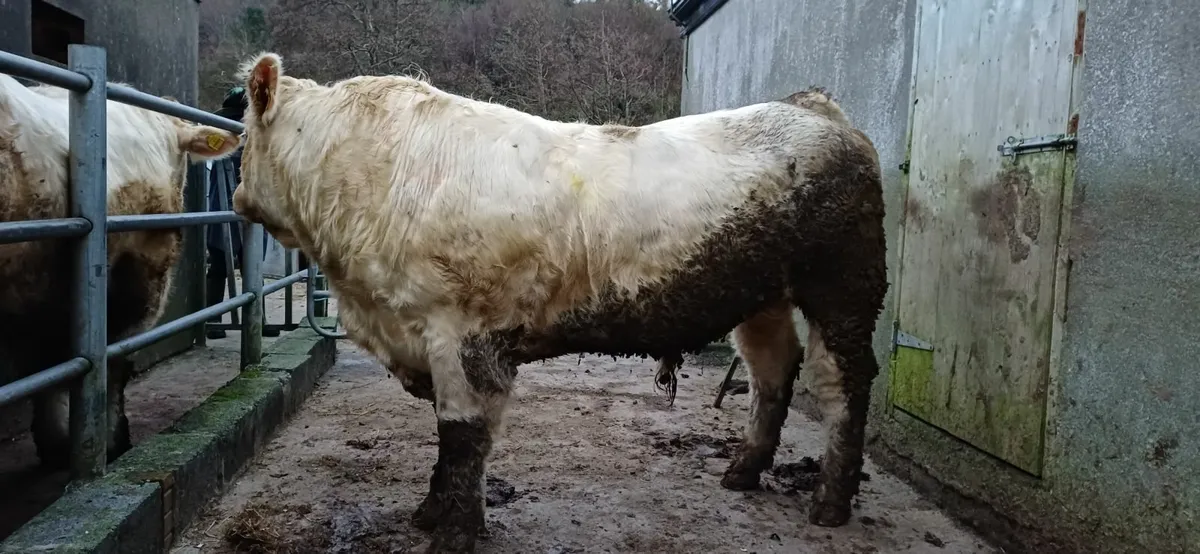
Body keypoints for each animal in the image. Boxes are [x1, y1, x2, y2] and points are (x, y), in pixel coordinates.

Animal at [0, 73, 241, 469]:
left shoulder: (34, 300)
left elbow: (46, 368)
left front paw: (55, 445)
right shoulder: (137, 277)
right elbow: (114, 361)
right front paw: (112, 442)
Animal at [231, 52, 887, 553]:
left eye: (240, 135)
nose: (234, 195)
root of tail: (809, 106)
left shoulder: (461, 334)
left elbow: (461, 435)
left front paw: (453, 532)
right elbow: (454, 440)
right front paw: (430, 513)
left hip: (844, 289)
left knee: (842, 382)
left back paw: (830, 501)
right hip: (762, 298)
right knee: (771, 371)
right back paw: (743, 472)